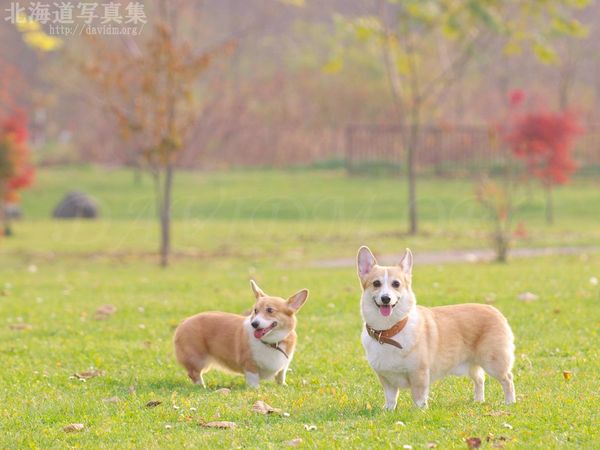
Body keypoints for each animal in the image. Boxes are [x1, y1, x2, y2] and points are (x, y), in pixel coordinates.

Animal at [171, 280, 308, 388]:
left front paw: (283, 385)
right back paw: (202, 387)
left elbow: (281, 375)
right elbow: (253, 379)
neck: (272, 342)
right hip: (198, 359)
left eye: (270, 310)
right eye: (255, 311)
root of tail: (183, 322)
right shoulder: (249, 364)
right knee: (194, 374)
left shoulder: (284, 365)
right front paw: (255, 389)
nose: (254, 324)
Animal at [356, 246, 516, 408]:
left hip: (493, 362)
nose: (386, 298)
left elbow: (418, 398)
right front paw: (388, 410)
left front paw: (419, 410)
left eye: (396, 284)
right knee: (479, 379)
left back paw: (510, 402)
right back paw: (478, 401)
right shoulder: (386, 378)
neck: (389, 331)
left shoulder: (419, 374)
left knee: (507, 379)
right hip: (472, 364)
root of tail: (495, 310)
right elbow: (390, 398)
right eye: (376, 283)